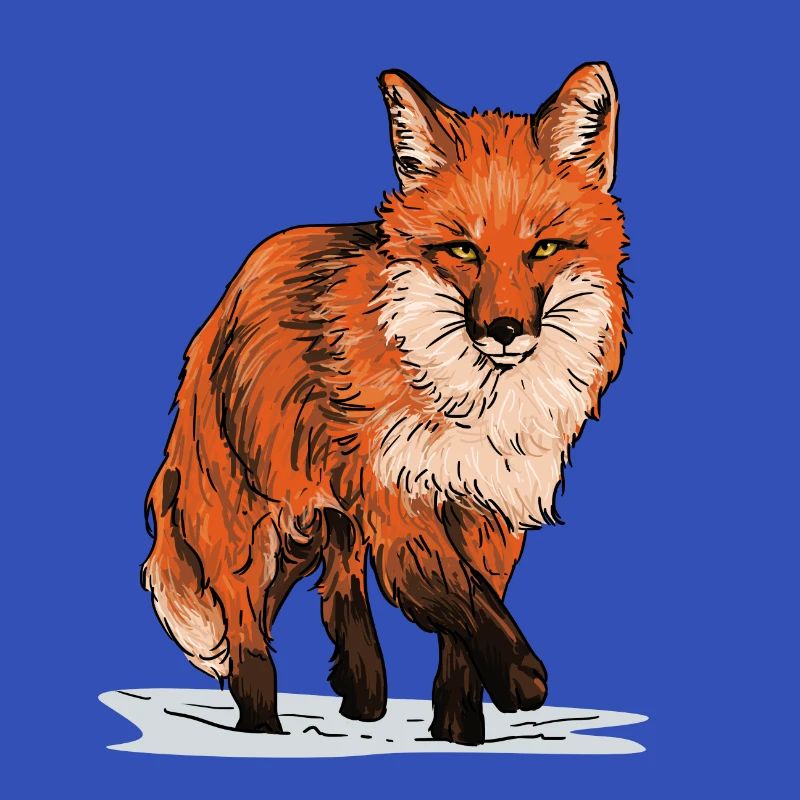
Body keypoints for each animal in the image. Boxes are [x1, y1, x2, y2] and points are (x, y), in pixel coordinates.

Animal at [142, 62, 629, 745]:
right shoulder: (400, 502)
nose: (505, 330)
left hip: (324, 519)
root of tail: (228, 294)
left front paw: (459, 733)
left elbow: (466, 634)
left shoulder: (490, 511)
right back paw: (263, 729)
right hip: (256, 522)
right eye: (463, 250)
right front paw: (522, 681)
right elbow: (465, 601)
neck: (472, 407)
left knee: (337, 591)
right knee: (247, 631)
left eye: (544, 249)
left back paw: (362, 696)